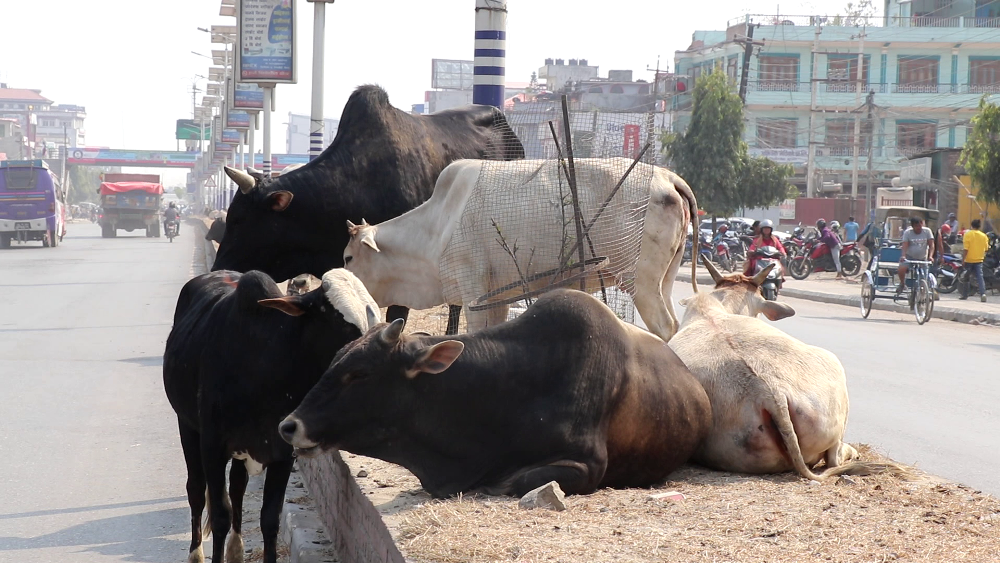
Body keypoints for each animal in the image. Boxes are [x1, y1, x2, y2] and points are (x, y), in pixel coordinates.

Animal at [164, 268, 378, 563]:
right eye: (342, 321)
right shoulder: (213, 447)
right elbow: (220, 515)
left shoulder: (282, 452)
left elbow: (269, 519)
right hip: (187, 427)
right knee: (196, 489)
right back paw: (196, 553)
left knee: (238, 487)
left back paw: (236, 550)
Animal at [338, 160, 696, 344]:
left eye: (348, 257)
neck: (438, 224)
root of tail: (668, 178)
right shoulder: (496, 296)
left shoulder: (473, 290)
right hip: (664, 280)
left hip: (640, 281)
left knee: (665, 328)